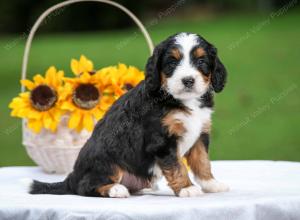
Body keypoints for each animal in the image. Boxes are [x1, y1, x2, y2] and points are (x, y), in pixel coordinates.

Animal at [29, 32, 227, 198]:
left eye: (201, 61)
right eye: (172, 63)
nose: (188, 80)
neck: (181, 100)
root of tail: (72, 177)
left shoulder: (200, 133)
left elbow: (202, 161)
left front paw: (211, 184)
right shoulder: (162, 140)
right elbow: (177, 166)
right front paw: (187, 188)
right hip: (106, 161)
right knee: (86, 187)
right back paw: (116, 189)